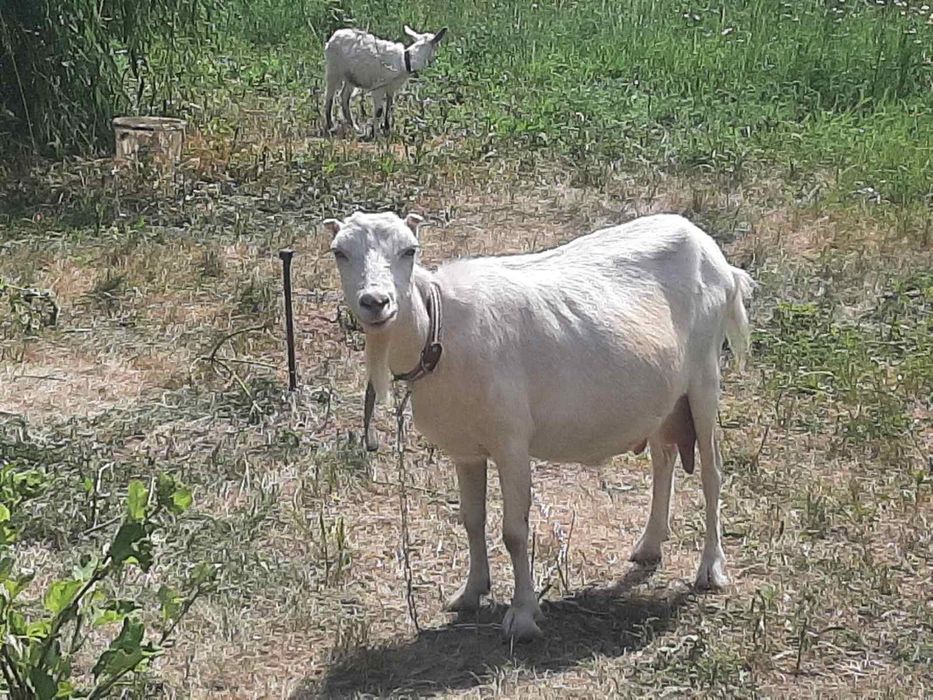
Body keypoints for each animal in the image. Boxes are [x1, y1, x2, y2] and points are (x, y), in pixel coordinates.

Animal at [323, 210, 754, 642]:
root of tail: (711, 250)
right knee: (663, 459)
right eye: (339, 252)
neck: (438, 333)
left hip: (704, 378)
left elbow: (514, 531)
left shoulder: (511, 441)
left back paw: (711, 569)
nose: (375, 302)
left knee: (712, 471)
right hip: (664, 399)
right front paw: (470, 592)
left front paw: (523, 616)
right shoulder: (465, 449)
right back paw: (649, 544)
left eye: (409, 250)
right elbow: (471, 520)